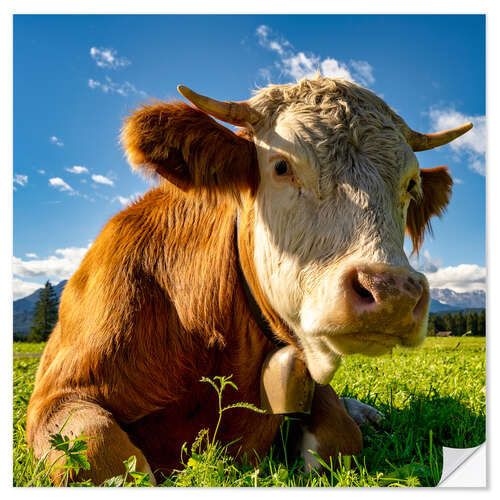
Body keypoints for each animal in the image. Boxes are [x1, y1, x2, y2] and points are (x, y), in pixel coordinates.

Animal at [26, 77, 472, 484]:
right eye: (281, 166)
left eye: (410, 185)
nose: (392, 292)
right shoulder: (57, 396)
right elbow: (103, 453)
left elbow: (340, 435)